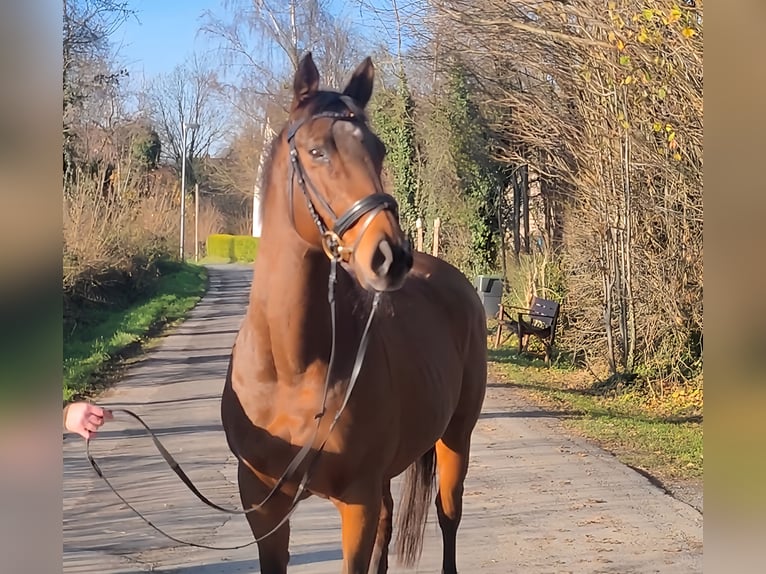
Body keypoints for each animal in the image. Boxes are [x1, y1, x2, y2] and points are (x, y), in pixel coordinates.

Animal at [219, 51, 488, 572]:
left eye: (380, 151)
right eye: (317, 151)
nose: (391, 256)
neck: (291, 367)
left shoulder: (355, 502)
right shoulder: (261, 505)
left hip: (455, 440)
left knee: (448, 517)